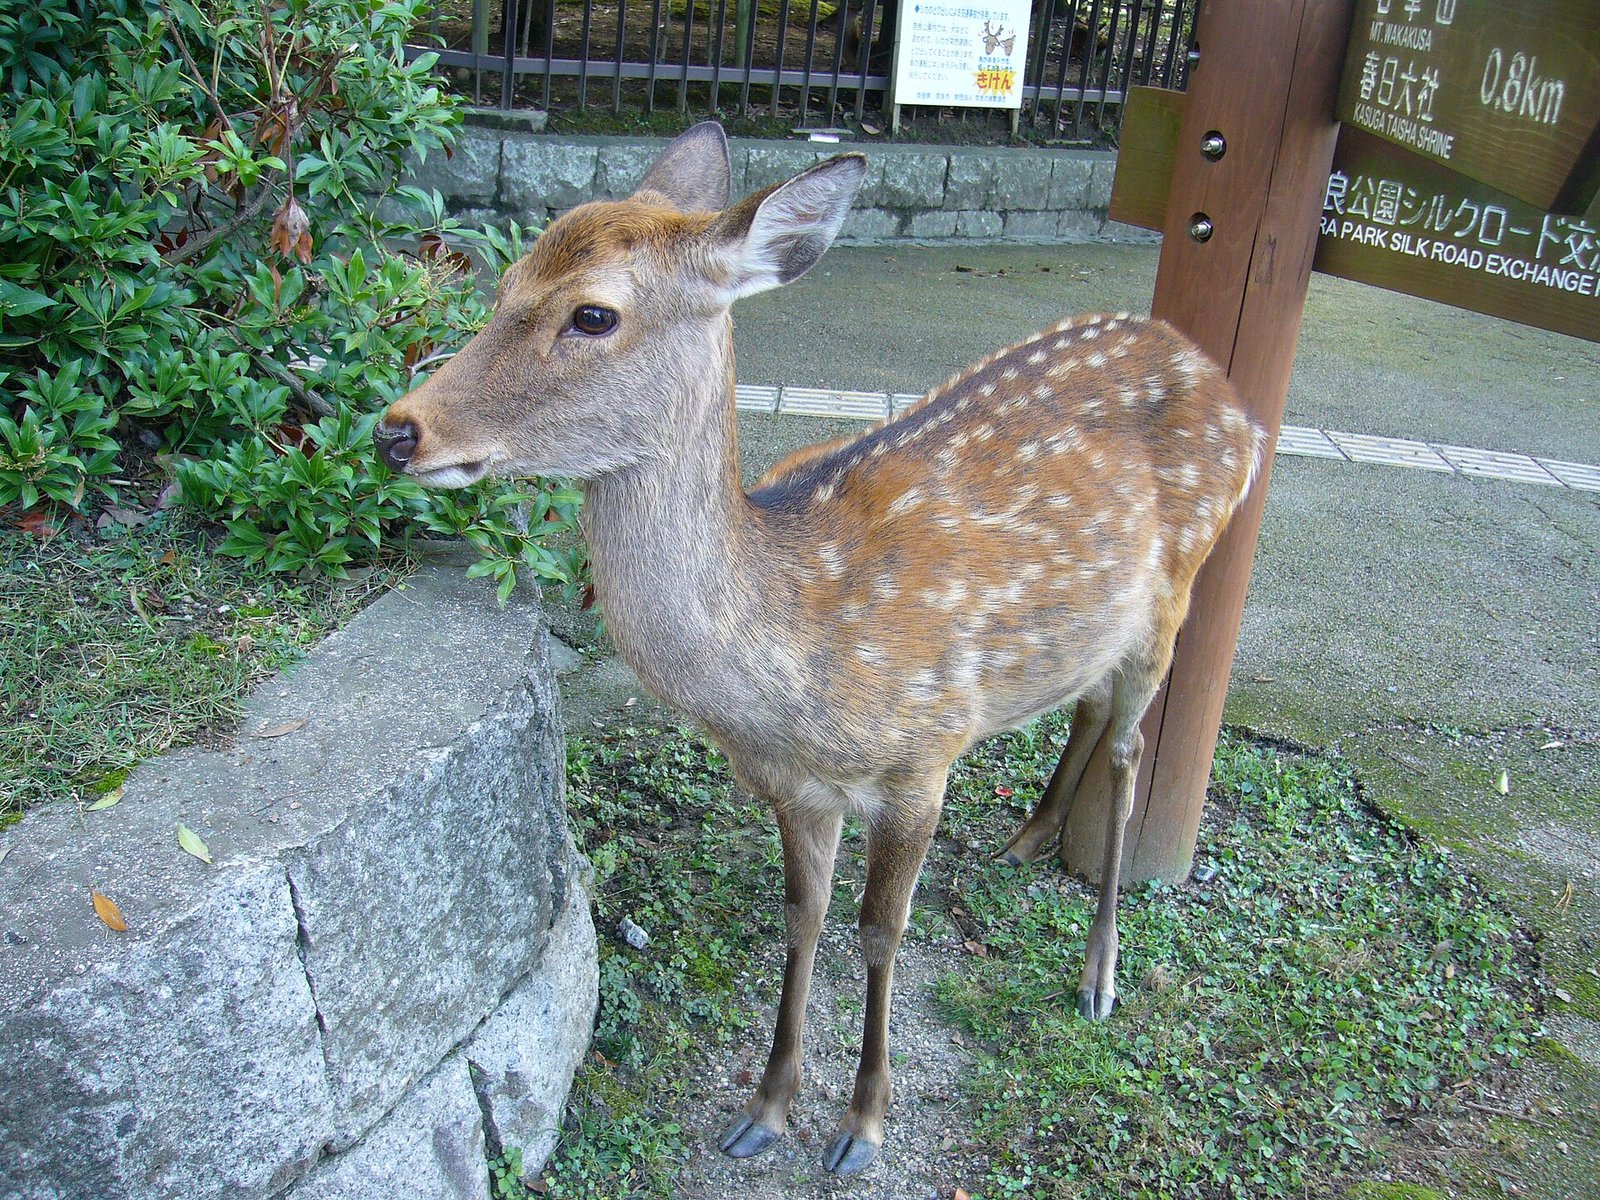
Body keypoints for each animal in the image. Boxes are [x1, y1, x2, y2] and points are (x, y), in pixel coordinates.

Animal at [374, 122, 1265, 1176]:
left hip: (1179, 590)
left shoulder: (924, 757)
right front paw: (765, 1107)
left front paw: (863, 1124)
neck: (794, 675)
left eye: (593, 314)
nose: (398, 430)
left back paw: (1099, 972)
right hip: (1094, 625)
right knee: (1084, 701)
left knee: (1132, 748)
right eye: (506, 280)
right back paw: (1026, 839)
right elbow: (803, 918)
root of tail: (1231, 396)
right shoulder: (793, 788)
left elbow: (881, 932)